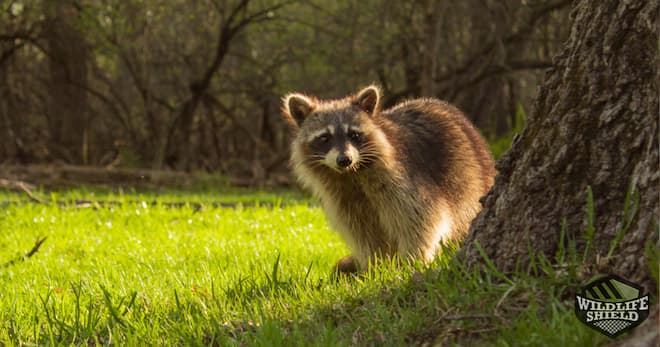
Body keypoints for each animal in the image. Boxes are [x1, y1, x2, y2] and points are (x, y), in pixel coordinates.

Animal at [282, 85, 492, 274]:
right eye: (324, 138)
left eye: (354, 134)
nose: (344, 160)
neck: (350, 174)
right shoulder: (343, 197)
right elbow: (363, 232)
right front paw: (376, 265)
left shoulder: (404, 178)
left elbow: (421, 219)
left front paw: (412, 261)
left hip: (471, 177)